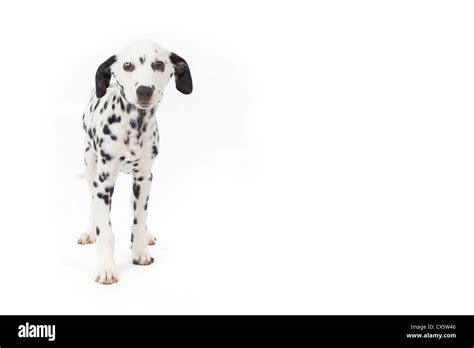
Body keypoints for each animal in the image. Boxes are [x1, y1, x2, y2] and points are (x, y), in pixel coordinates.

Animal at [77, 39, 192, 284]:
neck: (134, 127)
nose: (144, 90)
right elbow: (106, 231)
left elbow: (139, 219)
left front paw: (140, 252)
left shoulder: (144, 177)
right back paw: (89, 231)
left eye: (159, 64)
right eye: (128, 66)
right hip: (90, 166)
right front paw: (106, 268)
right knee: (92, 201)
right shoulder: (104, 182)